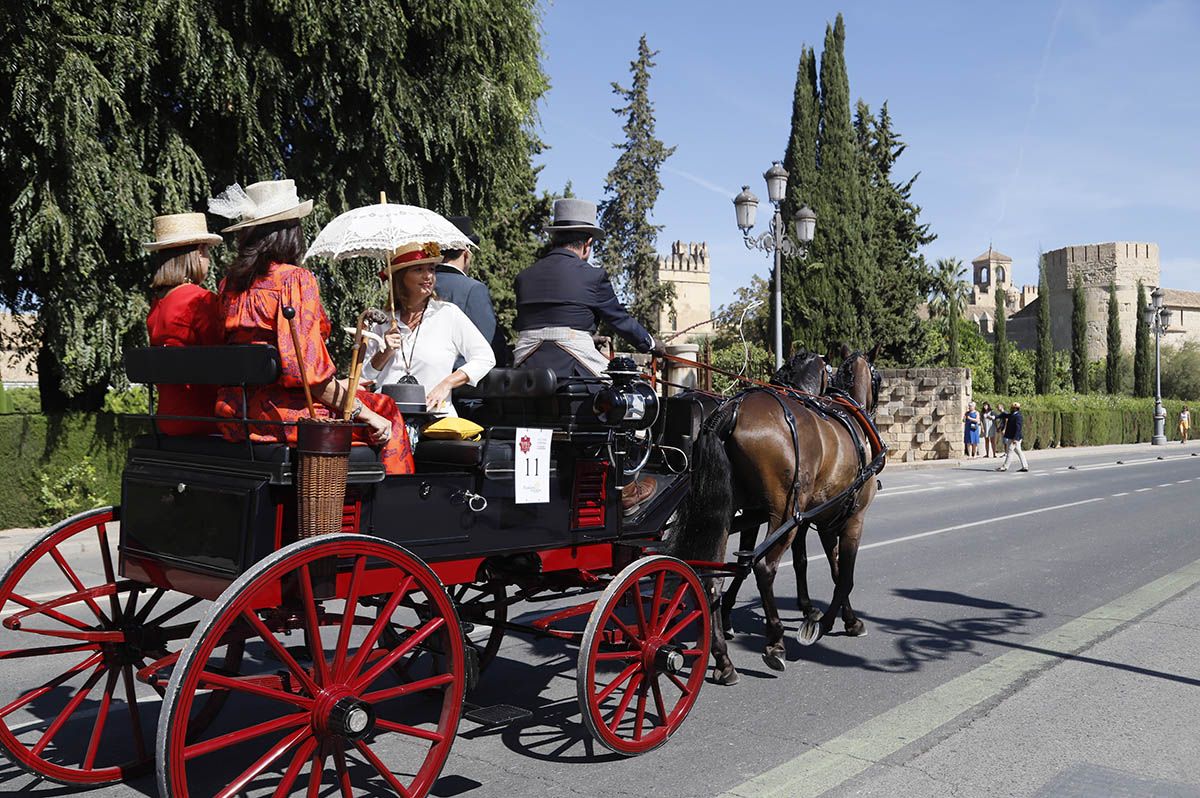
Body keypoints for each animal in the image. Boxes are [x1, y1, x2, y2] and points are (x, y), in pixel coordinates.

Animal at [672, 343, 888, 686]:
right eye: (878, 376)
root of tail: (730, 411)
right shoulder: (851, 519)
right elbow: (844, 577)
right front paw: (825, 623)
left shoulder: (821, 520)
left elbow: (827, 568)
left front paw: (840, 617)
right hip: (785, 514)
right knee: (764, 568)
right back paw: (774, 643)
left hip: (725, 514)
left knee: (713, 576)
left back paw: (723, 659)